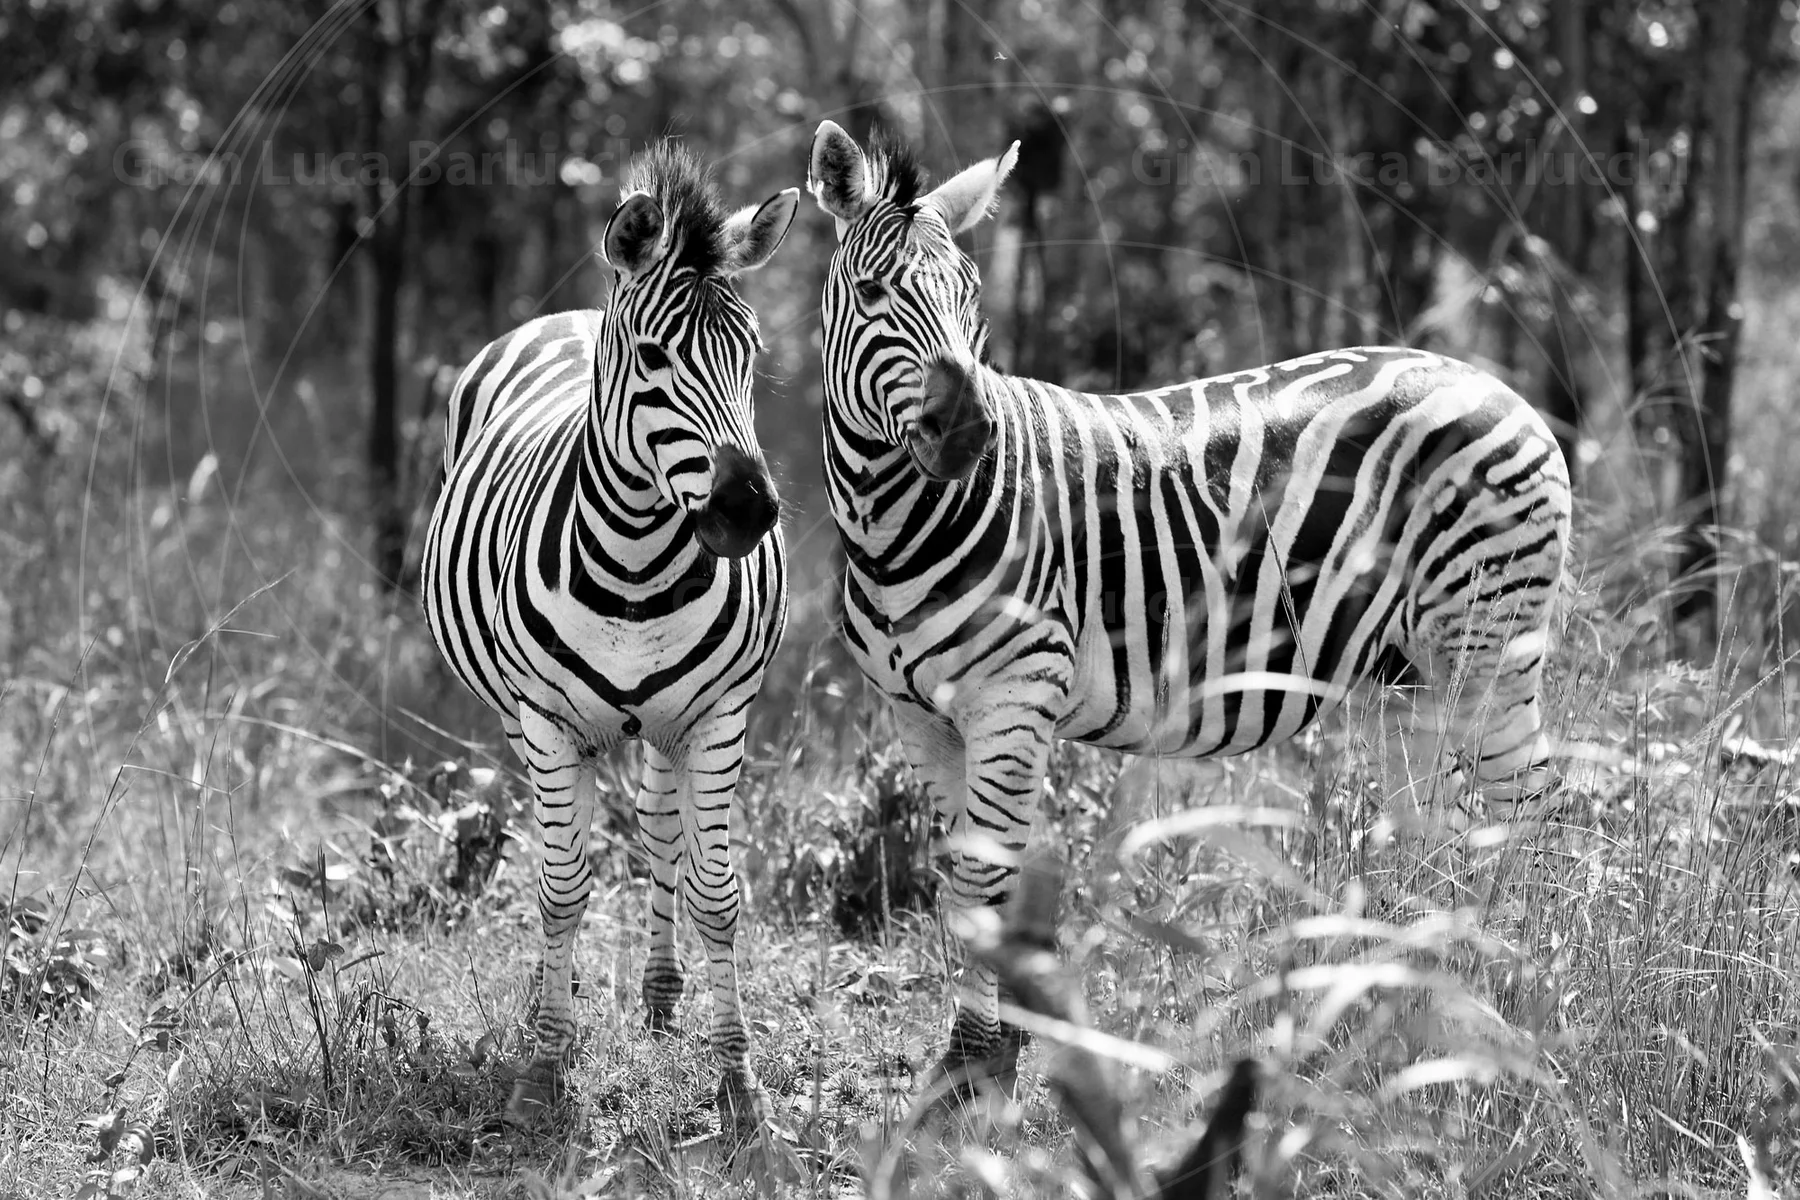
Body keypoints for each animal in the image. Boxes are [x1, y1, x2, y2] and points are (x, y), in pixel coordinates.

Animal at [421, 142, 796, 1132]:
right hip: (522, 720)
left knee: (660, 832)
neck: (633, 565)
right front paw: (545, 1067)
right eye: (656, 358)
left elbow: (717, 894)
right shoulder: (548, 722)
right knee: (567, 845)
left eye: (750, 356)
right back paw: (544, 1004)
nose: (748, 512)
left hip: (667, 727)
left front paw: (739, 1086)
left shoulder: (721, 718)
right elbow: (560, 889)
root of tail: (570, 314)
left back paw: (661, 998)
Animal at [806, 120, 1572, 1087]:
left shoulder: (1015, 694)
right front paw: (987, 1059)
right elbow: (966, 882)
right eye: (872, 291)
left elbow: (986, 877)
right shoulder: (918, 714)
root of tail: (1497, 386)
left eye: (970, 294)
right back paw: (1410, 1005)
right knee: (1438, 828)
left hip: (1486, 644)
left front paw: (977, 1070)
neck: (894, 527)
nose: (970, 433)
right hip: (1408, 674)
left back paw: (1517, 993)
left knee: (1525, 812)